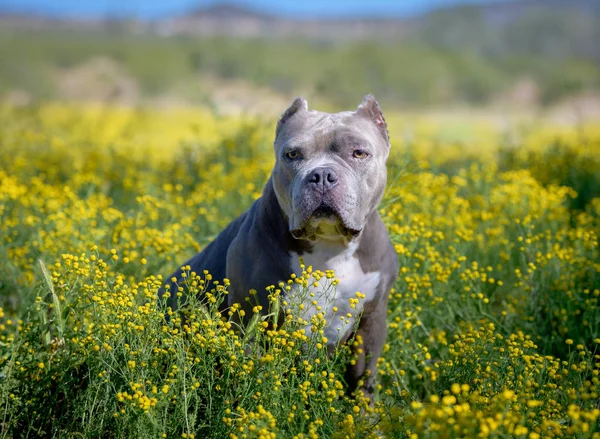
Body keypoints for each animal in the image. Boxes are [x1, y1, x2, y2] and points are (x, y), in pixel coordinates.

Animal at [164, 96, 398, 398]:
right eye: (293, 154)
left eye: (359, 153)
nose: (322, 175)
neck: (329, 245)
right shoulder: (251, 317)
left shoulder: (372, 320)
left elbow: (363, 381)